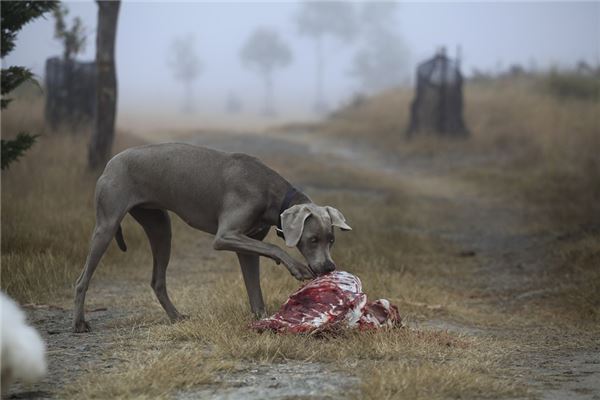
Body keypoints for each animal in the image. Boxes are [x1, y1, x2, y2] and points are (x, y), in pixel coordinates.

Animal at [73, 143, 352, 332]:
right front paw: (296, 267)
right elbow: (274, 248)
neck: (272, 192)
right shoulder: (225, 236)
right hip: (107, 225)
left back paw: (176, 317)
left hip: (160, 226)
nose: (329, 267)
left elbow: (255, 288)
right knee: (82, 279)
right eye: (313, 239)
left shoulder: (246, 245)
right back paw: (79, 323)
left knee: (157, 280)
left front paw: (262, 320)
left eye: (331, 240)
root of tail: (111, 162)